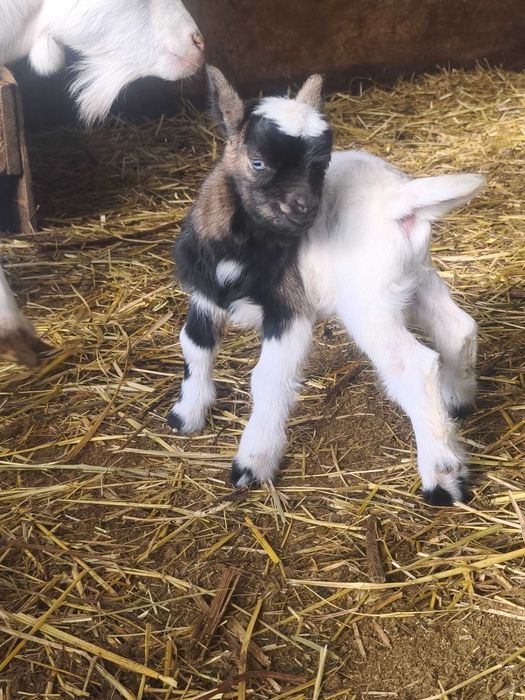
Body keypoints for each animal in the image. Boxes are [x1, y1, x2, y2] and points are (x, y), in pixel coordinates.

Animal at [168, 66, 484, 506]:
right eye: (258, 161)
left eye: (322, 164)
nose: (306, 209)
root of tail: (397, 200)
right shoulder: (205, 295)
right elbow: (194, 346)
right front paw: (187, 414)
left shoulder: (289, 309)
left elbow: (268, 378)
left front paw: (253, 461)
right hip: (414, 275)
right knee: (458, 327)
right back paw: (459, 400)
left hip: (368, 303)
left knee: (414, 365)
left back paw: (442, 477)